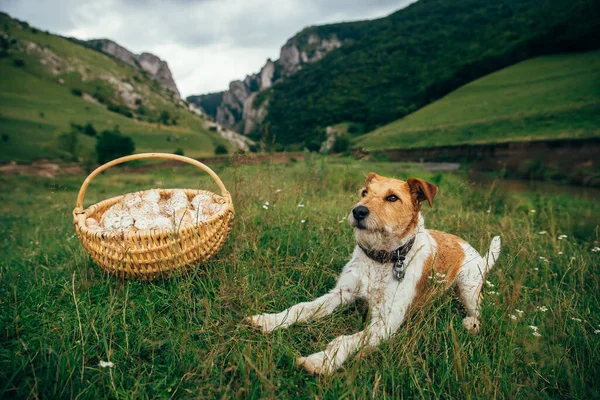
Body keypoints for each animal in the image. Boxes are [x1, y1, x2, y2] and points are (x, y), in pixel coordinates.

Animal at [246, 174, 500, 376]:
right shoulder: (341, 293)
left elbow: (344, 340)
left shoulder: (386, 322)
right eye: (364, 192)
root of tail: (473, 250)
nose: (358, 211)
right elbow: (302, 308)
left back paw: (470, 324)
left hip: (468, 288)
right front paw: (270, 320)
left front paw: (321, 360)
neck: (381, 259)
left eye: (392, 198)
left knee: (480, 312)